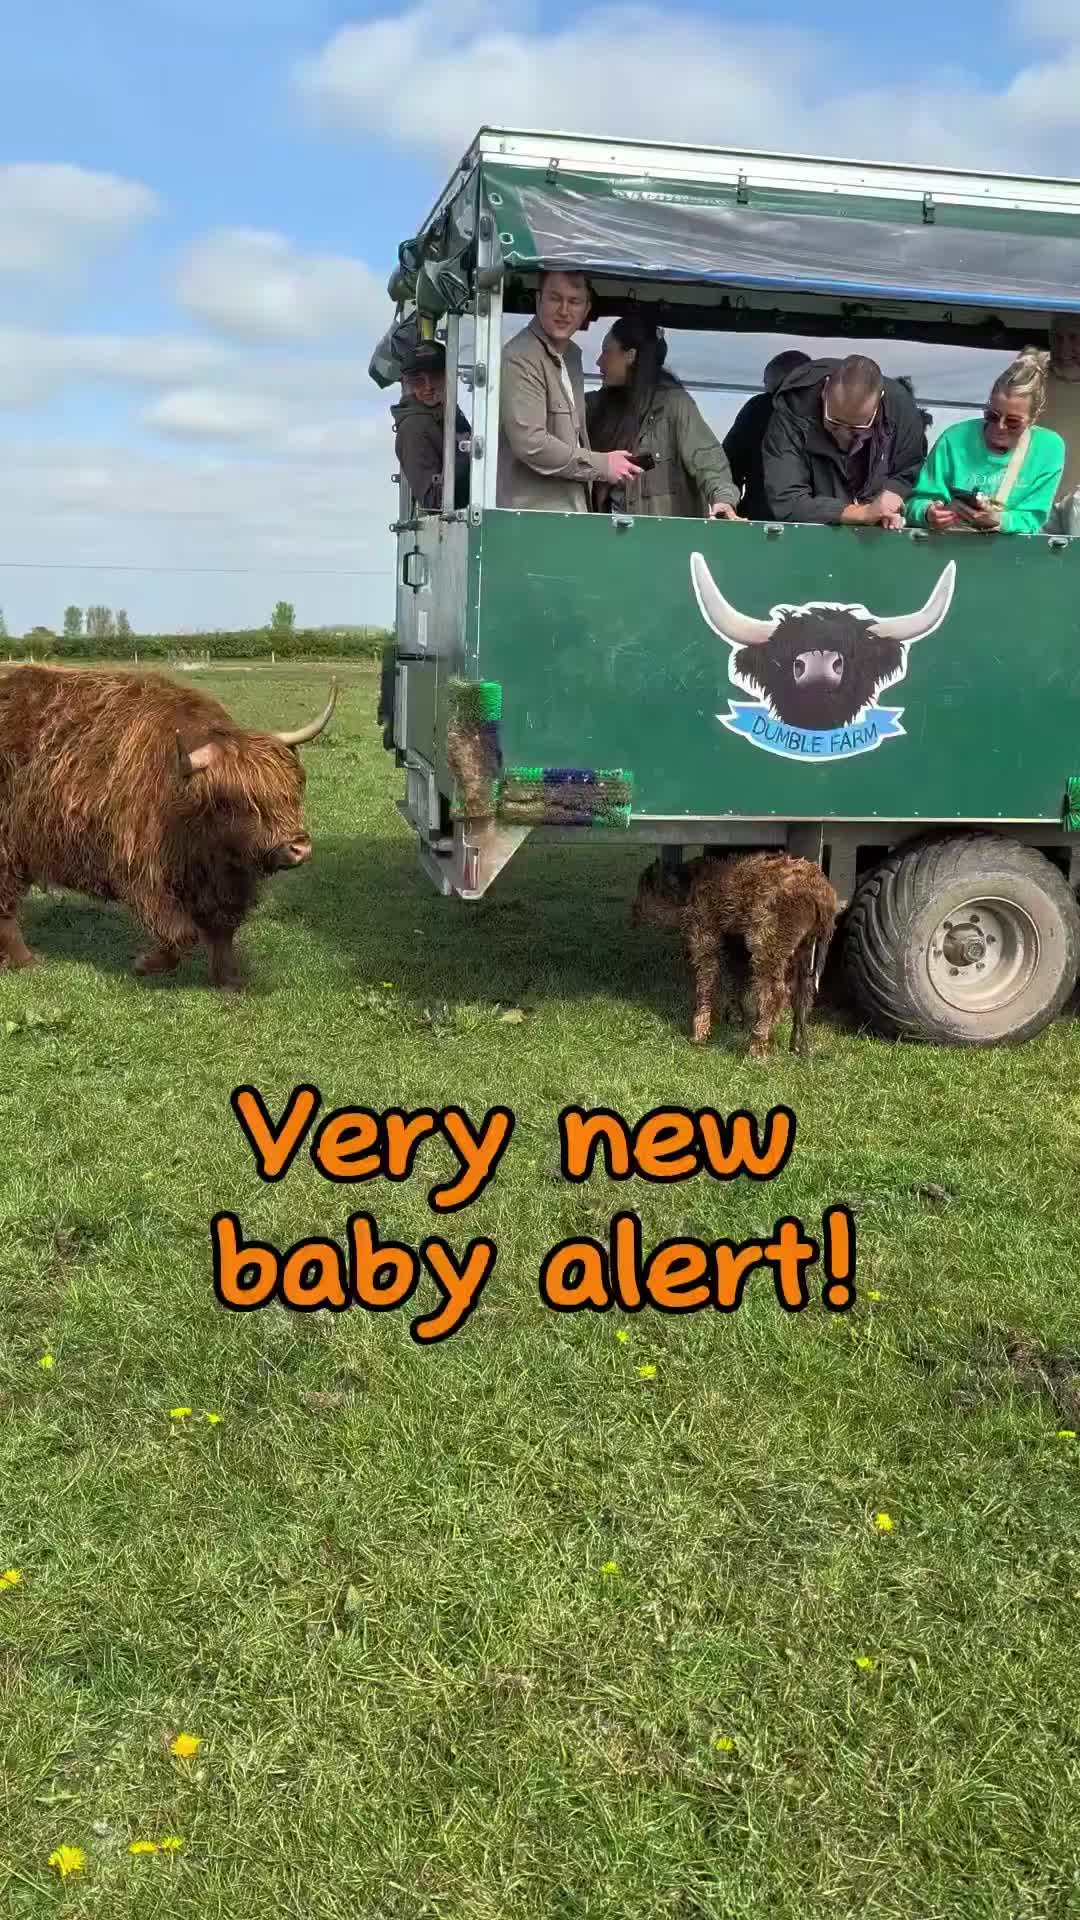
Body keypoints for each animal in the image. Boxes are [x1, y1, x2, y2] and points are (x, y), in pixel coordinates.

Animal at [0, 663, 336, 989]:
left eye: (291, 791)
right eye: (238, 801)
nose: (299, 848)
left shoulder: (225, 880)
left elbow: (223, 929)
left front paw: (229, 981)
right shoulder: (143, 871)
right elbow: (179, 932)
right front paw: (146, 964)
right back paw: (25, 961)